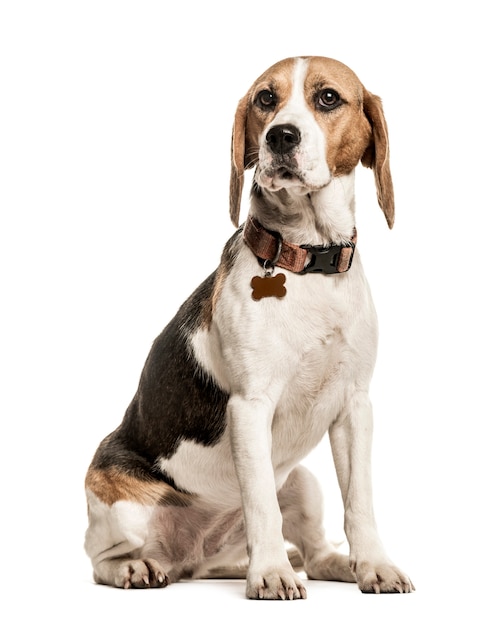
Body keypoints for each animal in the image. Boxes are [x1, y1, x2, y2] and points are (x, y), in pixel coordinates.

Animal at [85, 54, 414, 596]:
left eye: (328, 97)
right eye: (266, 98)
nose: (281, 136)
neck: (309, 259)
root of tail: (193, 560)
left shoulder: (354, 406)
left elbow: (360, 503)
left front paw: (374, 565)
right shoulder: (250, 406)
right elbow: (261, 505)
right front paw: (272, 574)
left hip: (303, 482)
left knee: (315, 552)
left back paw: (335, 564)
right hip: (121, 505)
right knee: (101, 558)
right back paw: (138, 568)